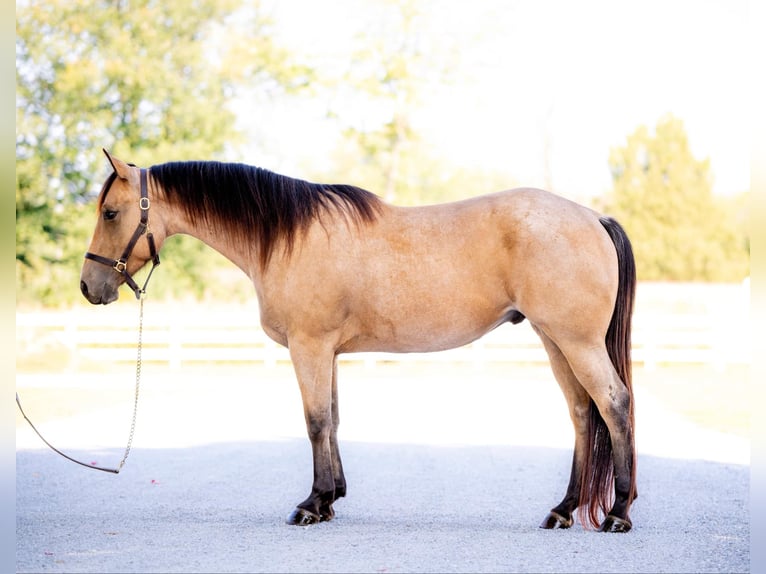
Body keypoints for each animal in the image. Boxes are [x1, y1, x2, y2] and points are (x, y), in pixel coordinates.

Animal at [81, 150, 640, 536]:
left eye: (110, 212)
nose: (89, 287)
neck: (287, 238)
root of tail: (593, 218)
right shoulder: (325, 352)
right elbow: (331, 418)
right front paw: (331, 499)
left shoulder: (308, 346)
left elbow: (314, 421)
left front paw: (312, 504)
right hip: (555, 340)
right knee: (582, 413)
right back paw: (563, 510)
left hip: (576, 342)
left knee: (614, 405)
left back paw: (618, 512)